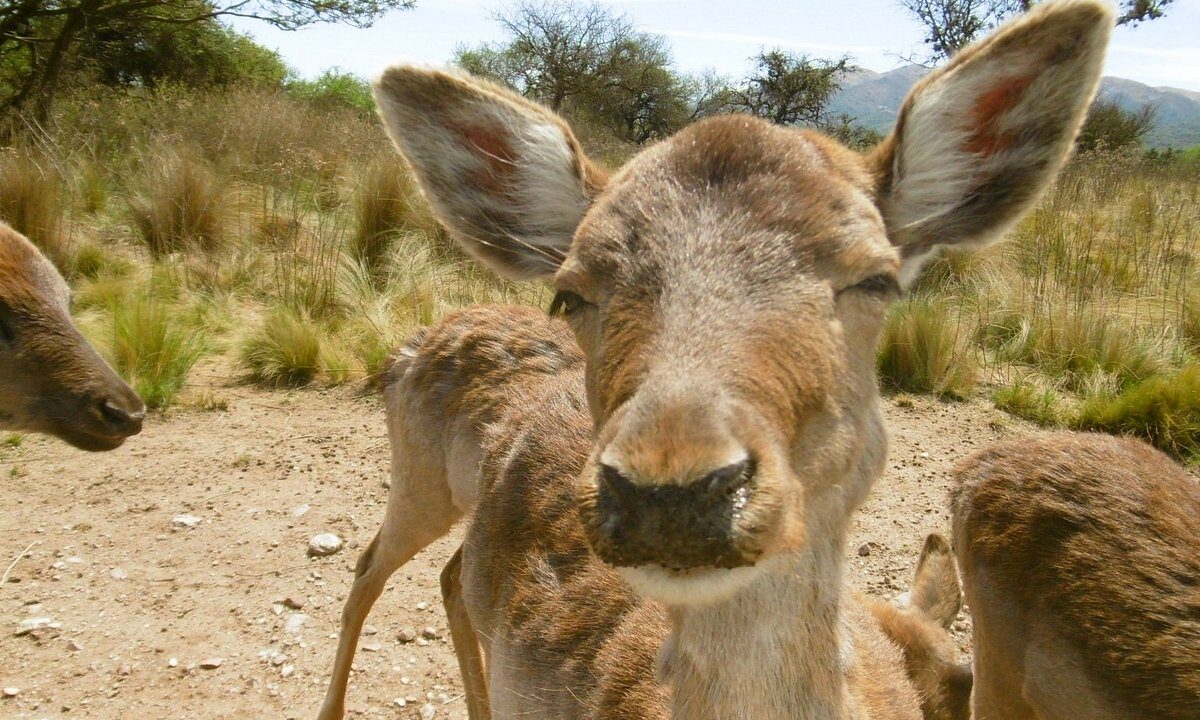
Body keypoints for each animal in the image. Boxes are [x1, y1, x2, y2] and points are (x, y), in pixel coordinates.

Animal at [316, 2, 1104, 715]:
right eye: (570, 291)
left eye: (878, 278)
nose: (672, 489)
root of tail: (410, 345)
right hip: (418, 476)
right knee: (366, 566)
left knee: (451, 577)